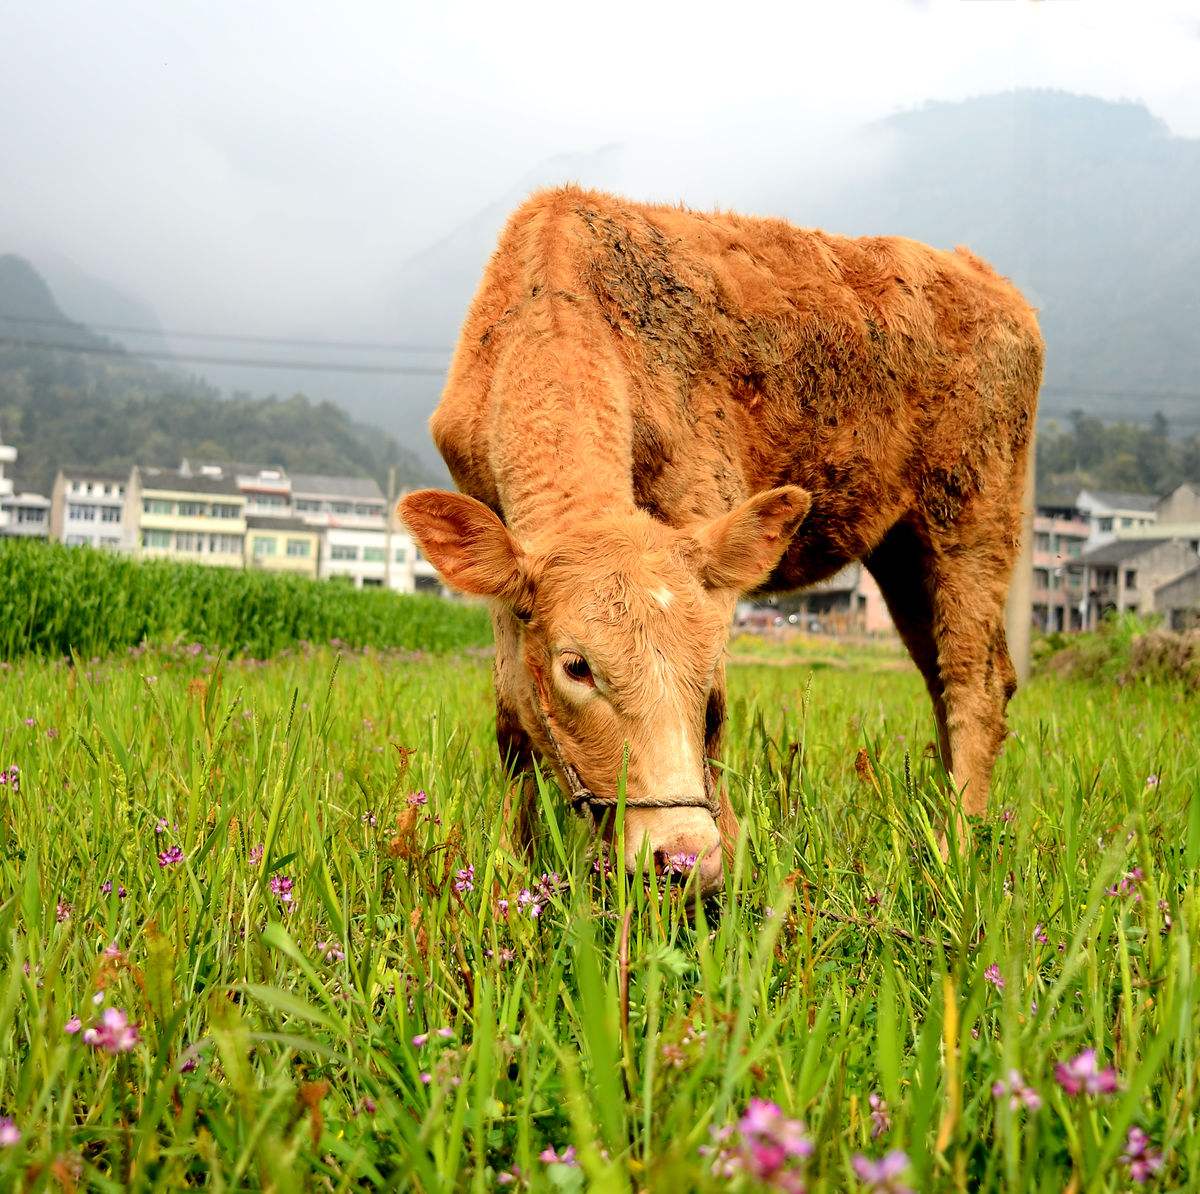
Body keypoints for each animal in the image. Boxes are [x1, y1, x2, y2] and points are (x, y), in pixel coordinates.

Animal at [400, 189, 1041, 897]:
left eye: (704, 673)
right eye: (576, 666)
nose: (680, 858)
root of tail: (987, 278)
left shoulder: (705, 497)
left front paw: (731, 874)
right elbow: (512, 721)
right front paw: (511, 871)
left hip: (973, 509)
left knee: (975, 680)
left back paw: (959, 847)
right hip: (902, 549)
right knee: (943, 677)